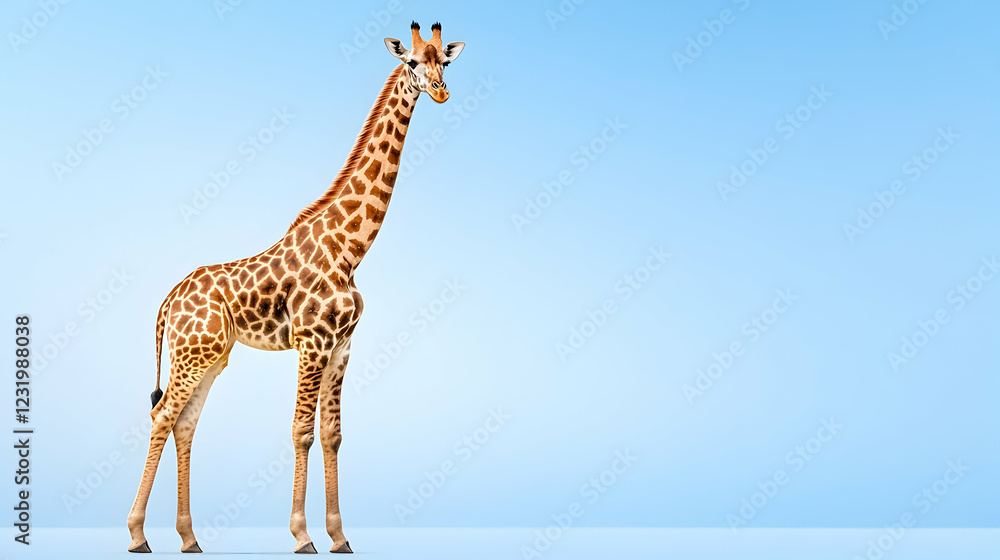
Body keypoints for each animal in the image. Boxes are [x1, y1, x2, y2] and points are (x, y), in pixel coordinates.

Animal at [126, 22, 465, 554]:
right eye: (412, 62)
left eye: (445, 63)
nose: (441, 91)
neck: (351, 248)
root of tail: (166, 302)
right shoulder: (313, 341)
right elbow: (301, 429)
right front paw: (303, 535)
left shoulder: (343, 346)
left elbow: (332, 434)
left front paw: (340, 537)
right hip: (191, 355)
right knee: (162, 416)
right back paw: (139, 535)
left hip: (210, 357)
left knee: (185, 423)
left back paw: (189, 537)